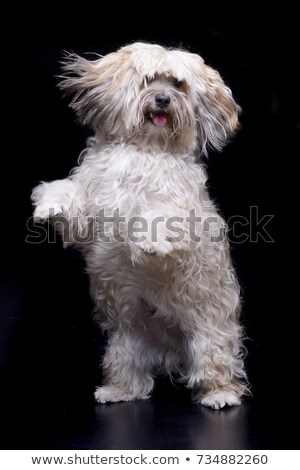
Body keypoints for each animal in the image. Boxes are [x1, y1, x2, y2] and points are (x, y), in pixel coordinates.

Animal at [32, 41, 248, 408]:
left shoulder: (176, 207)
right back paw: (117, 390)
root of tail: (171, 348)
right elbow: (69, 199)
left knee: (217, 367)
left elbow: (159, 219)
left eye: (177, 84)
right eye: (149, 81)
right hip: (125, 343)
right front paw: (48, 206)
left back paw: (220, 395)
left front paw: (149, 242)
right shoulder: (91, 208)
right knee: (131, 375)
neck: (145, 149)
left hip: (209, 339)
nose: (162, 100)